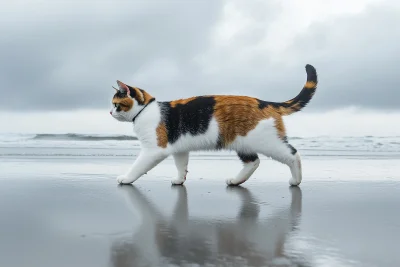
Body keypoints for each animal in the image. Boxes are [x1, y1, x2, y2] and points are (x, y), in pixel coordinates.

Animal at [111, 63, 318, 187]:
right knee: (253, 162)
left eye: (115, 104)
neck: (145, 109)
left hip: (266, 142)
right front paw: (179, 179)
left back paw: (296, 179)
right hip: (242, 143)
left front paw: (126, 178)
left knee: (293, 154)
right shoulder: (180, 148)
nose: (110, 112)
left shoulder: (154, 150)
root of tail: (265, 102)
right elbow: (181, 165)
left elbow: (138, 166)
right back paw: (236, 180)